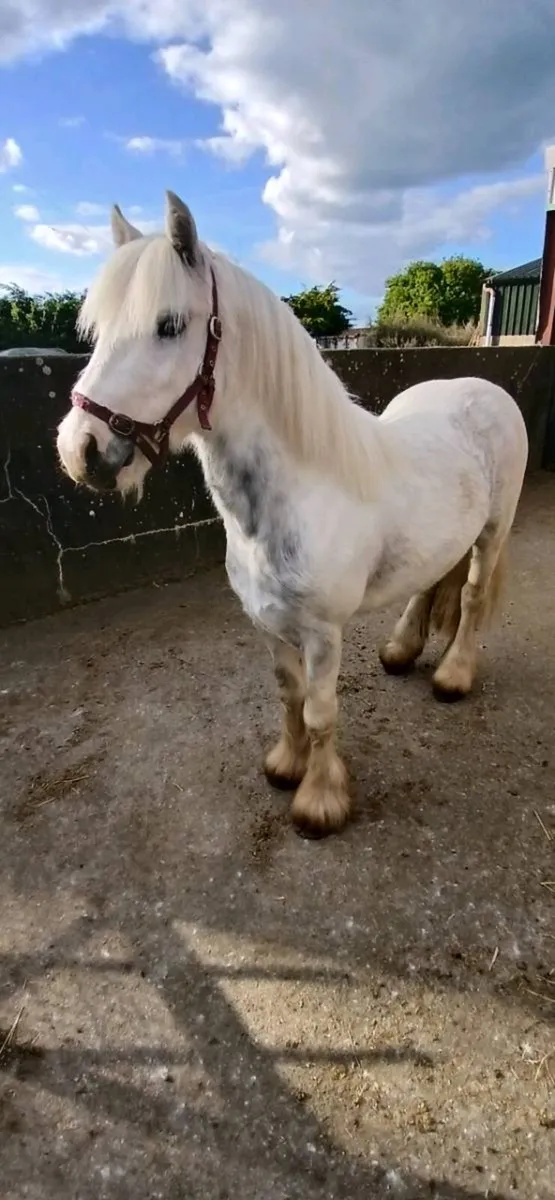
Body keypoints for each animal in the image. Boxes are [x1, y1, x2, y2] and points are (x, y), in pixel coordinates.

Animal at [56, 190, 529, 839]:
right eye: (98, 331)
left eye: (169, 325)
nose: (79, 450)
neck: (297, 495)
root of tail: (482, 385)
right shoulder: (269, 624)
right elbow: (289, 696)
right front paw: (286, 765)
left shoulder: (323, 633)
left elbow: (321, 710)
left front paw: (320, 802)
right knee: (432, 581)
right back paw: (401, 651)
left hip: (493, 531)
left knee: (475, 595)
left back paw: (453, 677)